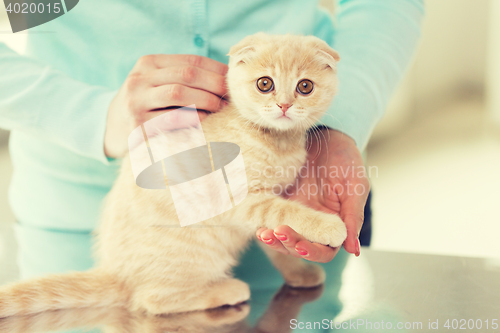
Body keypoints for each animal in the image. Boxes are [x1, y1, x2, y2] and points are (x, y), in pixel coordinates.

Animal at [0, 33, 346, 316]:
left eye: (305, 87)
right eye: (265, 84)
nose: (284, 105)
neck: (276, 141)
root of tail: (116, 273)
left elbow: (275, 236)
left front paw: (299, 272)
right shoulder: (240, 197)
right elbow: (285, 211)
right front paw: (329, 226)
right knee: (152, 300)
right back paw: (225, 289)